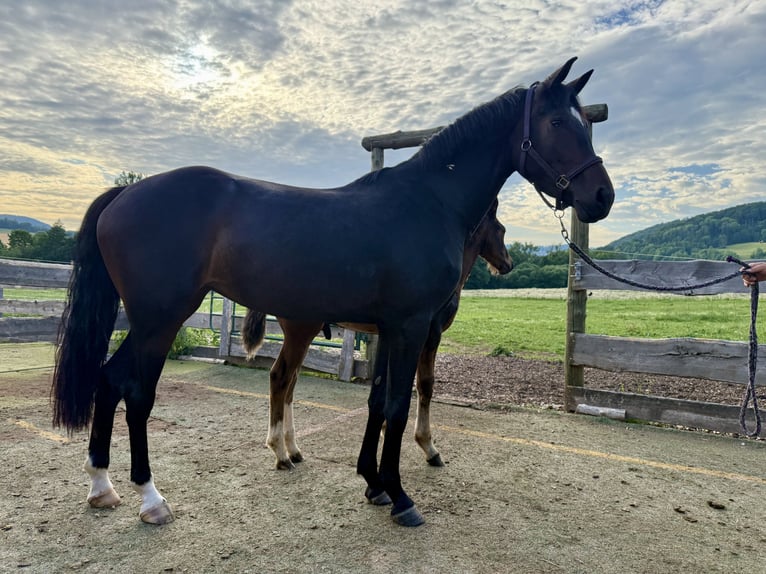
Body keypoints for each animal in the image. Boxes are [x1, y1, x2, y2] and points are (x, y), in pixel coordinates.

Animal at [242, 198, 512, 471]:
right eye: (501, 230)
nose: (508, 264)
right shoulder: (429, 335)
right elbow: (425, 385)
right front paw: (428, 447)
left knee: (291, 383)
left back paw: (294, 449)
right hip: (301, 333)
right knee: (280, 377)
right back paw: (281, 453)